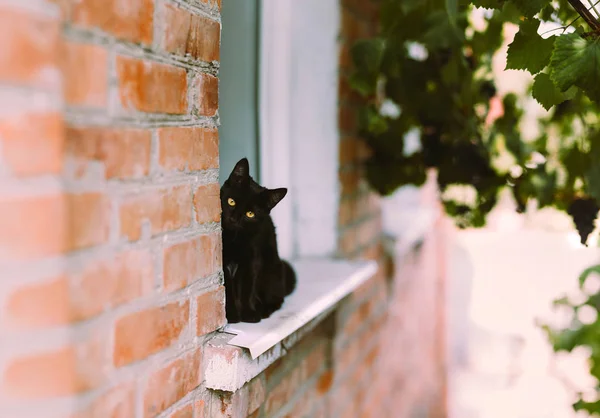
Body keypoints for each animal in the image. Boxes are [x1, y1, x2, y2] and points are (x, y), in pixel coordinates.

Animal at [220, 158, 296, 324]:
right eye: (231, 201)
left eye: (250, 214)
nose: (233, 219)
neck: (235, 238)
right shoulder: (223, 263)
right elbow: (227, 290)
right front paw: (232, 315)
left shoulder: (252, 260)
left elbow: (248, 288)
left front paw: (249, 314)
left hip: (272, 270)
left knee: (277, 299)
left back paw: (264, 310)